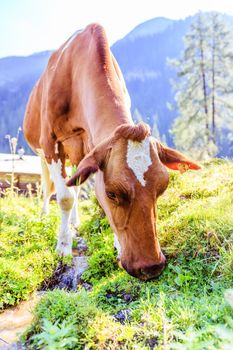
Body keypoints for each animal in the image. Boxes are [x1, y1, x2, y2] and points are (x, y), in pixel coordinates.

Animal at [23, 23, 200, 280]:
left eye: (163, 188)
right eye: (112, 193)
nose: (150, 267)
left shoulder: (90, 154)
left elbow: (82, 196)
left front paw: (116, 245)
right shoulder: (50, 143)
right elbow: (65, 197)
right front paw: (63, 247)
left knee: (75, 186)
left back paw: (75, 221)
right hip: (41, 153)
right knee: (49, 187)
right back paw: (45, 215)